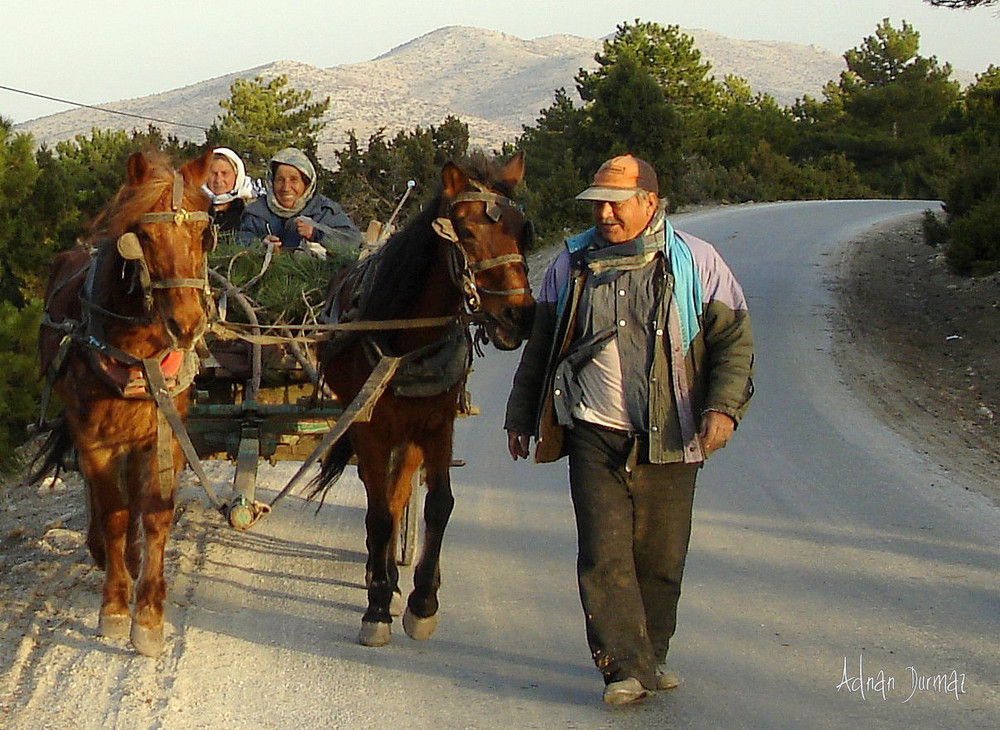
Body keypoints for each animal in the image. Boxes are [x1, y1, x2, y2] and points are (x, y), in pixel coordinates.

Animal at [34, 149, 213, 656]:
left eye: (202, 234)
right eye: (143, 237)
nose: (188, 324)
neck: (138, 351)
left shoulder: (165, 433)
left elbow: (155, 511)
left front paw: (149, 613)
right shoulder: (95, 439)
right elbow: (113, 510)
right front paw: (115, 606)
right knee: (102, 497)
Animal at [318, 152, 540, 644]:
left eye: (523, 231)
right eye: (468, 232)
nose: (519, 315)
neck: (407, 343)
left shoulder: (437, 425)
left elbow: (438, 505)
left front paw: (423, 601)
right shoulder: (369, 429)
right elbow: (378, 515)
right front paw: (377, 609)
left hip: (410, 436)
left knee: (399, 493)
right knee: (379, 500)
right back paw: (378, 575)